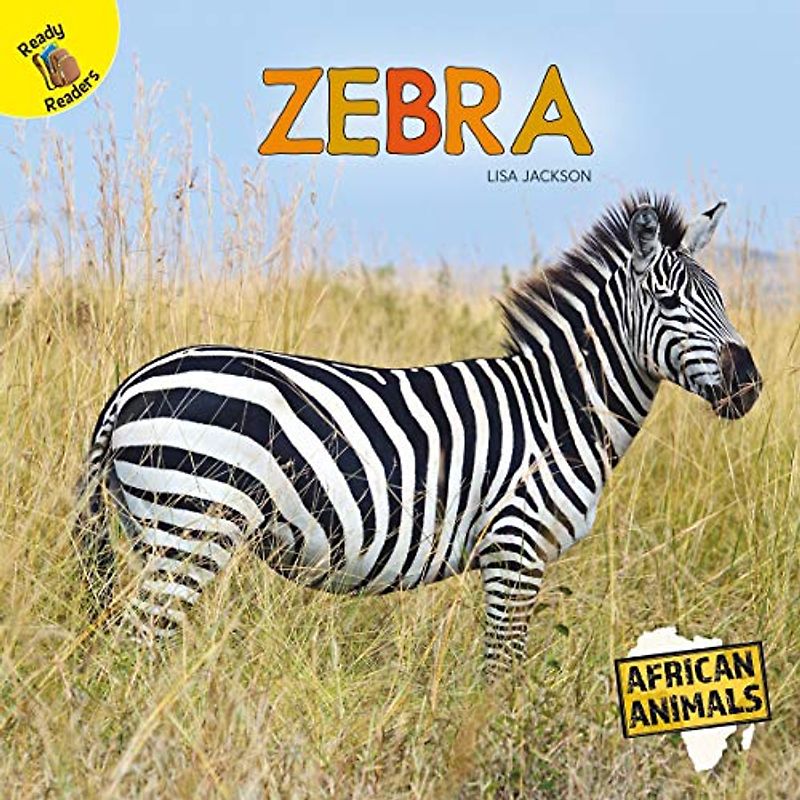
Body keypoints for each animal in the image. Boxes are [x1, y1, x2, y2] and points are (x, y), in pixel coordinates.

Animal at [75, 193, 762, 675]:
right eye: (671, 302)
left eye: (721, 297)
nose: (749, 384)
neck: (559, 410)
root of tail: (131, 384)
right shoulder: (515, 547)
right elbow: (502, 672)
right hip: (192, 525)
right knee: (136, 647)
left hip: (152, 529)